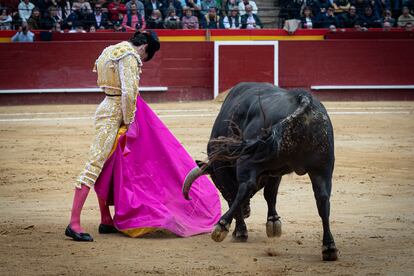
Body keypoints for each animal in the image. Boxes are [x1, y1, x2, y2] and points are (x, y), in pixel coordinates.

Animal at [183, 82, 338, 260]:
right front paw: (273, 223)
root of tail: (303, 99)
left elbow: (233, 195)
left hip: (249, 160)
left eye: (218, 186)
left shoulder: (225, 170)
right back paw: (329, 247)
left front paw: (240, 231)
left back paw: (222, 227)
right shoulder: (276, 171)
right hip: (322, 168)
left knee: (245, 187)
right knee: (322, 199)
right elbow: (270, 194)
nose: (247, 211)